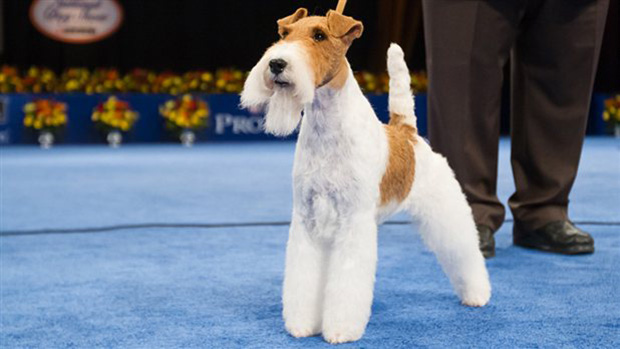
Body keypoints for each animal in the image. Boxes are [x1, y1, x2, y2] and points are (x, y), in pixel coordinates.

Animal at [240, 7, 492, 342]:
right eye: (285, 34)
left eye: (319, 35)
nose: (276, 63)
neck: (327, 129)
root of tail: (407, 132)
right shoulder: (308, 219)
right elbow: (303, 278)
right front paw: (302, 324)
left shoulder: (353, 221)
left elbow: (346, 282)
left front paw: (339, 330)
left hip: (445, 210)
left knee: (465, 251)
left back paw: (477, 294)